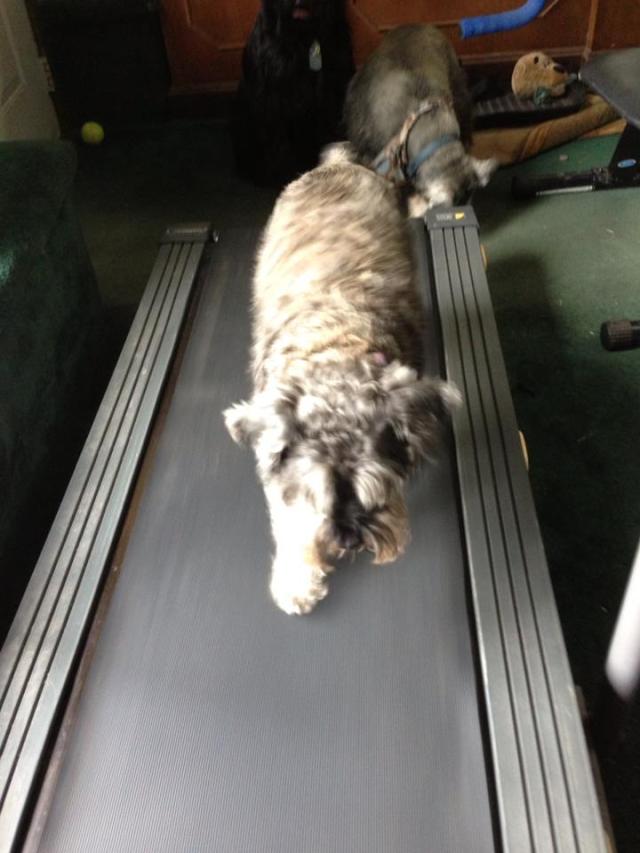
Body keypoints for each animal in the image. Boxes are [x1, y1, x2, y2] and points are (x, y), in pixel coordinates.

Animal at [224, 145, 460, 615]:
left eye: (378, 492)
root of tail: (339, 162)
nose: (349, 539)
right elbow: (289, 516)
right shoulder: (276, 456)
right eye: (318, 494)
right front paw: (297, 579)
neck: (334, 349)